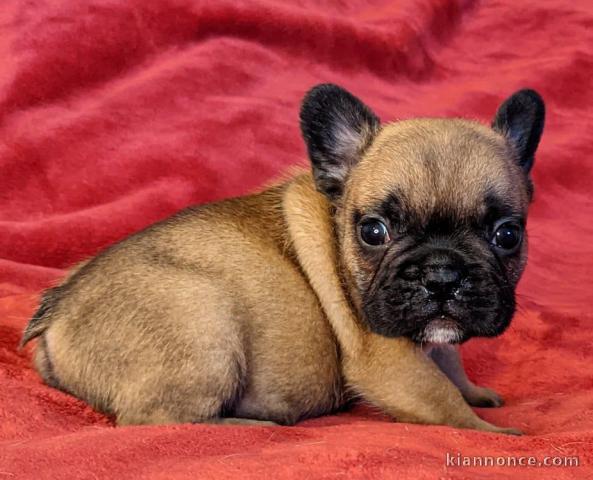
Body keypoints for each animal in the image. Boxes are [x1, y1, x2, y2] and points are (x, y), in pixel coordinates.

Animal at [20, 84, 544, 434]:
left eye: (507, 234)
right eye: (374, 231)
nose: (441, 273)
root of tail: (57, 310)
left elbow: (450, 363)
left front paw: (476, 391)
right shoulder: (386, 358)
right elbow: (440, 397)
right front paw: (500, 435)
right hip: (203, 323)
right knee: (154, 419)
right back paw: (250, 425)